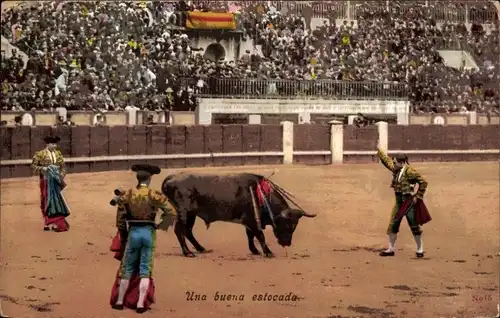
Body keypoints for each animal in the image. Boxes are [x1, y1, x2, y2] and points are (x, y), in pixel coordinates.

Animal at [161, 171, 316, 258]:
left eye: (294, 226)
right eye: (286, 224)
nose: (286, 243)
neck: (263, 196)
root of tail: (172, 177)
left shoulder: (249, 221)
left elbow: (250, 235)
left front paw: (254, 250)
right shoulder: (252, 219)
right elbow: (260, 235)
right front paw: (268, 252)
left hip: (192, 213)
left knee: (187, 230)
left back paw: (201, 249)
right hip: (183, 211)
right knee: (179, 229)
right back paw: (188, 252)